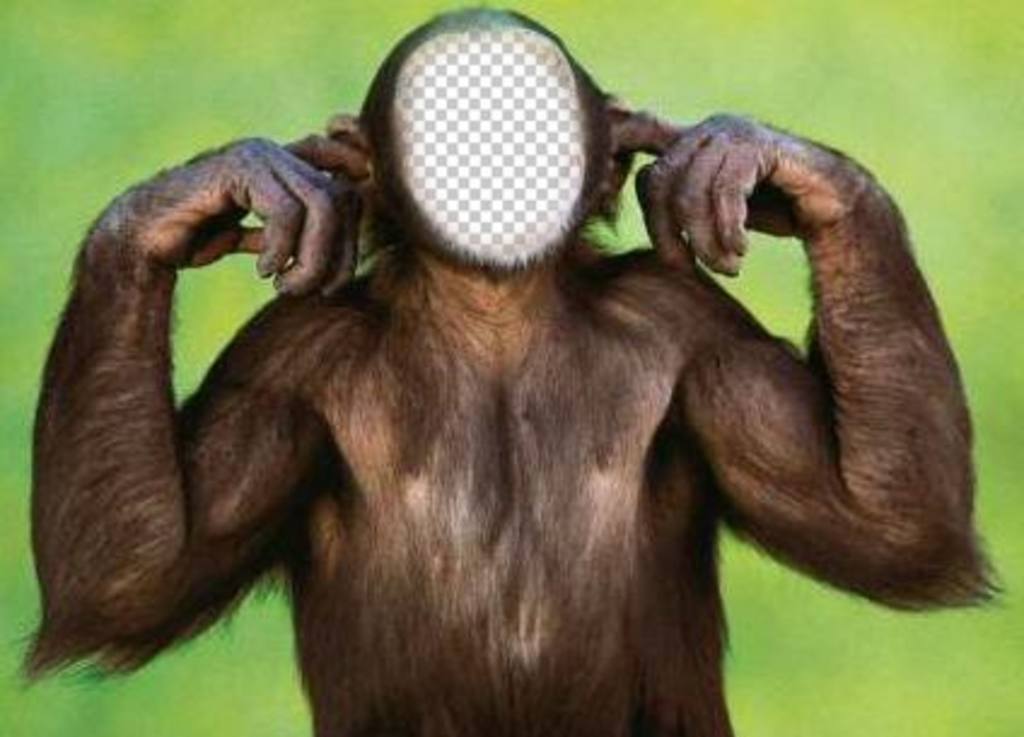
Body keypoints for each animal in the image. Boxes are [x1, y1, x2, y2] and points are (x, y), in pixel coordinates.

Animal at [26, 8, 993, 737]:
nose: (495, 149)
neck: (493, 313)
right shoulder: (281, 364)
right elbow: (134, 572)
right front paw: (210, 191)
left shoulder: (696, 332)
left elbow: (879, 522)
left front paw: (750, 157)